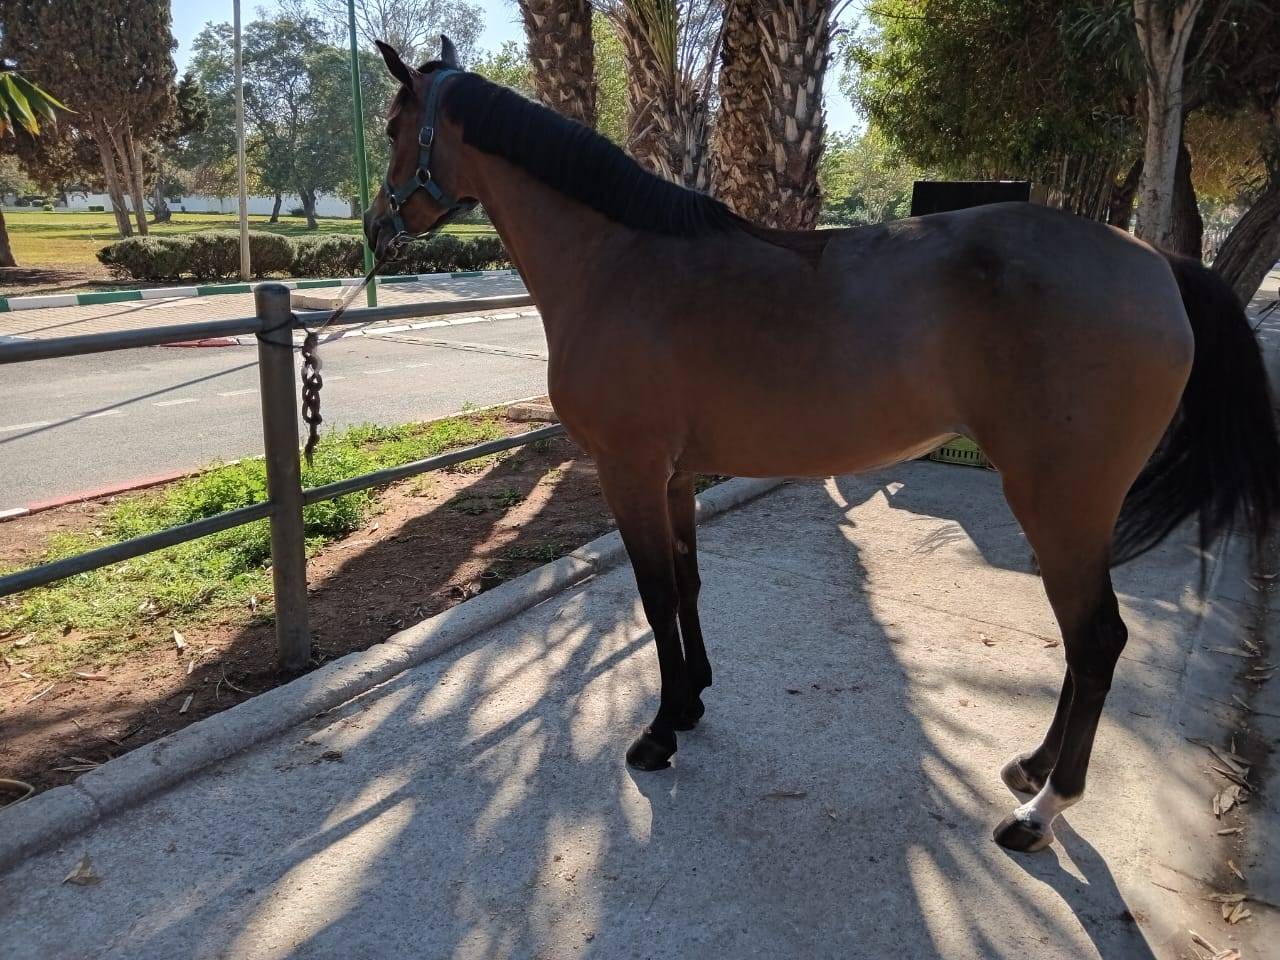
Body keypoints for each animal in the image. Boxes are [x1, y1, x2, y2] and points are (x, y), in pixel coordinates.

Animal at [363, 37, 1280, 853]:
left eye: (393, 125)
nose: (375, 227)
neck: (619, 261)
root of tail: (1156, 262)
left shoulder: (629, 472)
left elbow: (654, 597)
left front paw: (658, 734)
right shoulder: (675, 478)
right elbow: (688, 585)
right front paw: (691, 702)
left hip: (1061, 502)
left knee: (1096, 642)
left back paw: (1039, 813)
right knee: (1086, 643)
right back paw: (1030, 768)